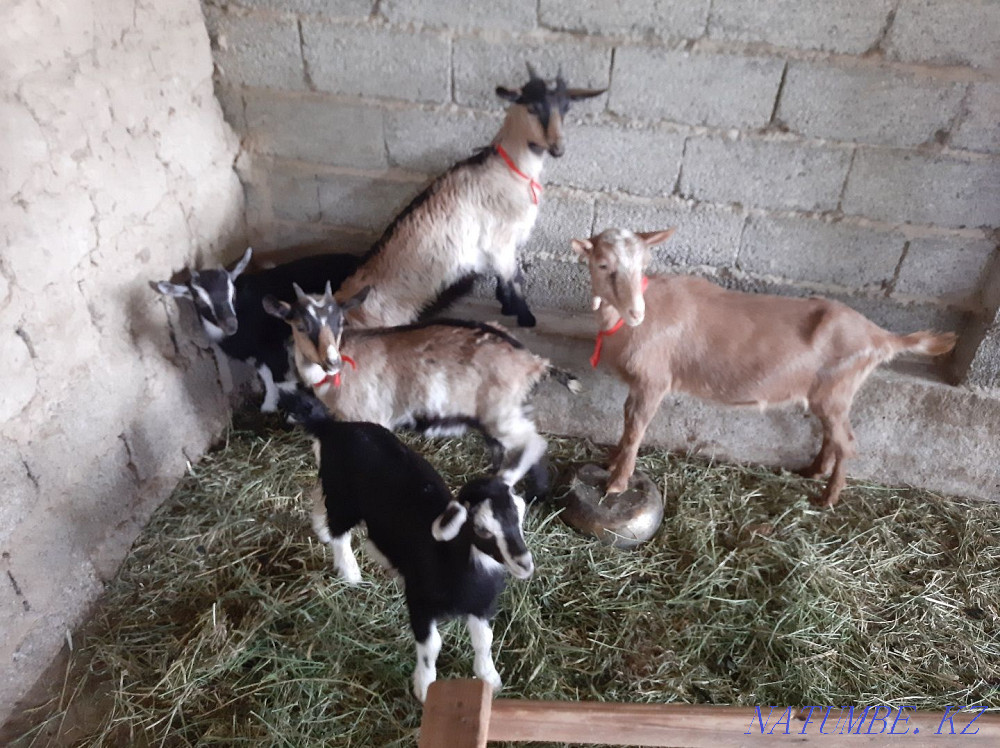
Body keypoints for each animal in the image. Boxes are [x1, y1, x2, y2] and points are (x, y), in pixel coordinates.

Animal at [151, 247, 359, 411]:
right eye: (199, 300)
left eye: (232, 293)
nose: (230, 324)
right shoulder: (259, 352)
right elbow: (266, 375)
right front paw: (270, 404)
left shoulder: (273, 347)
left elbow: (279, 378)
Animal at [263, 284, 581, 493]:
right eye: (300, 325)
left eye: (339, 321)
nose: (332, 361)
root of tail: (534, 362)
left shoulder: (371, 417)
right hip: (508, 413)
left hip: (502, 416)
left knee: (533, 444)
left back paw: (512, 484)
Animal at [282, 390, 533, 702]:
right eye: (482, 529)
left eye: (519, 516)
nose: (524, 563)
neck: (452, 557)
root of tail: (332, 427)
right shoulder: (419, 601)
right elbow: (431, 645)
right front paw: (425, 688)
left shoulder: (482, 606)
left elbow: (485, 641)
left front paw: (490, 678)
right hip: (345, 498)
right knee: (340, 532)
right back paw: (350, 572)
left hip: (333, 486)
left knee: (320, 499)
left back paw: (322, 530)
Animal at [334, 65, 604, 329]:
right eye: (532, 107)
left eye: (566, 108)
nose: (558, 148)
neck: (511, 169)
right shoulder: (501, 239)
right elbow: (513, 278)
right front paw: (525, 318)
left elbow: (504, 278)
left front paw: (507, 307)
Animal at [571, 228, 958, 507]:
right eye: (603, 265)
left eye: (644, 265)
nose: (637, 313)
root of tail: (881, 337)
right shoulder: (638, 386)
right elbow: (627, 423)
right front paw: (611, 463)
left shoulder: (654, 381)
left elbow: (636, 430)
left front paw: (617, 483)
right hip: (828, 395)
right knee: (833, 437)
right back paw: (814, 472)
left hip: (837, 390)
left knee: (847, 443)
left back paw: (828, 498)